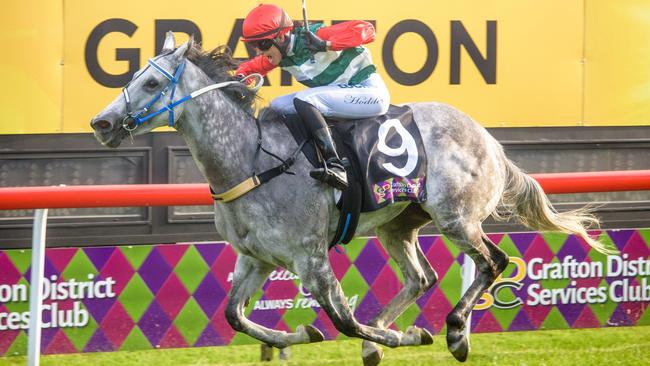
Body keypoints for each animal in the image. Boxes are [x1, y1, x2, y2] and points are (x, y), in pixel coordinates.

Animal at [88, 33, 604, 364]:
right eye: (134, 76)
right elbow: (235, 316)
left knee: (493, 261)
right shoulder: (255, 257)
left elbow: (345, 320)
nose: (102, 123)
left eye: (152, 84)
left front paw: (404, 335)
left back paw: (456, 330)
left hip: (456, 218)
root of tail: (490, 140)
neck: (251, 160)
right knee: (422, 276)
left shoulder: (311, 258)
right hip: (400, 224)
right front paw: (298, 333)